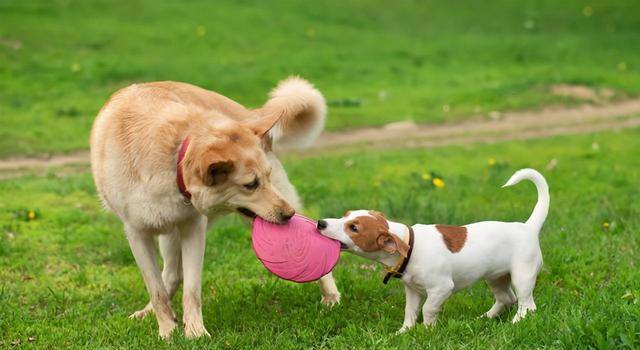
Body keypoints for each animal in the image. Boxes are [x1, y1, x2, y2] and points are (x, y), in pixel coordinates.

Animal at [90, 77, 342, 340]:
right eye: (251, 184)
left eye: (266, 176)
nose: (288, 214)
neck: (174, 158)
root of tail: (247, 114)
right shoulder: (137, 234)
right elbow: (156, 289)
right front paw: (168, 331)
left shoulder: (193, 228)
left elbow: (192, 290)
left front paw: (195, 333)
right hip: (168, 233)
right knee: (170, 276)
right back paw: (150, 312)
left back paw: (331, 297)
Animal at [318, 170, 548, 334]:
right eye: (345, 214)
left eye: (354, 228)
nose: (320, 223)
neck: (410, 244)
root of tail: (528, 227)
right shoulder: (412, 290)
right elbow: (410, 311)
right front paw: (404, 332)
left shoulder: (441, 288)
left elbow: (428, 308)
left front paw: (428, 329)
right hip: (496, 277)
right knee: (507, 298)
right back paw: (486, 317)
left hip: (522, 275)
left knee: (527, 305)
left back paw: (516, 322)